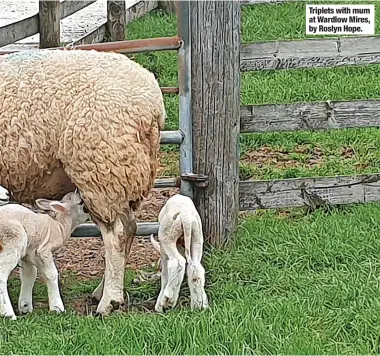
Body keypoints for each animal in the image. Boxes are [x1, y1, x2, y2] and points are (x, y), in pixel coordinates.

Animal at [0, 192, 90, 320]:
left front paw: (25, 306)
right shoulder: (43, 250)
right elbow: (52, 274)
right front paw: (57, 307)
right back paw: (8, 314)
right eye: (81, 202)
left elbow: (29, 275)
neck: (60, 226)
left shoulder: (28, 254)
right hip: (12, 242)